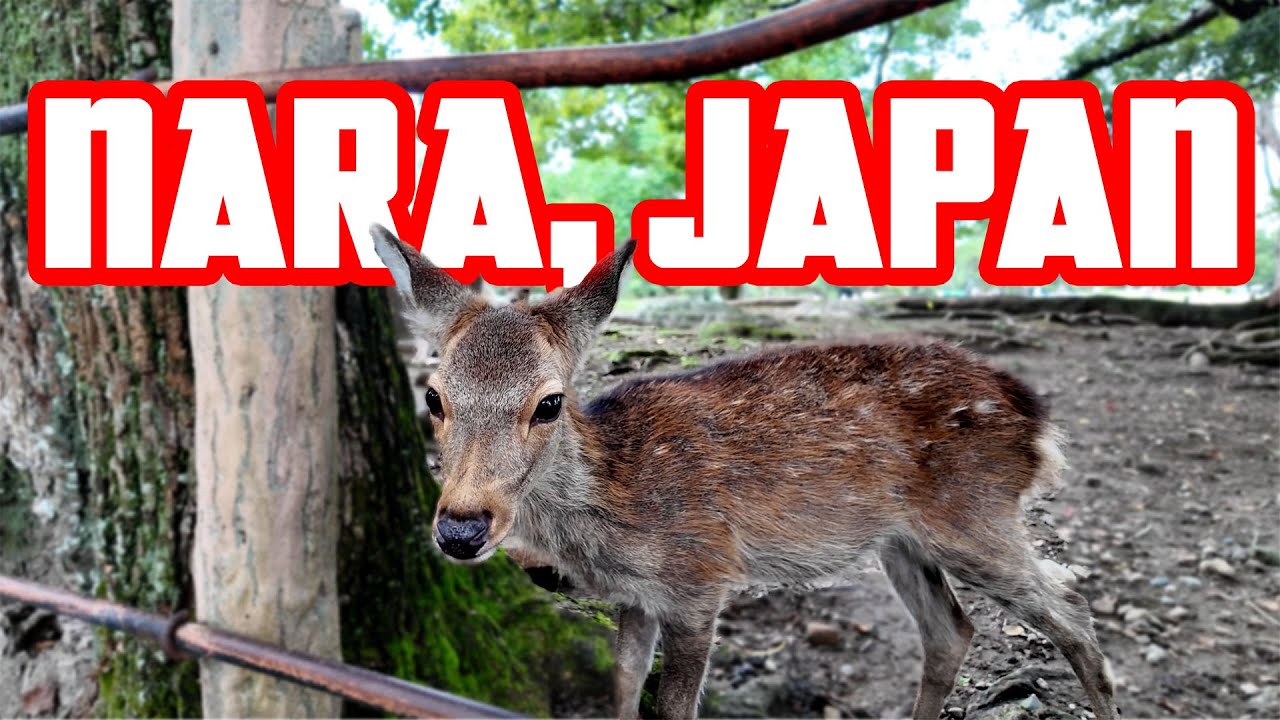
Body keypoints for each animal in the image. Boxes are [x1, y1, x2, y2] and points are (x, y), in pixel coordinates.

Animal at [370, 225, 1117, 720]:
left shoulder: (699, 578)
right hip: (903, 539)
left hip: (974, 511)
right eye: (433, 397)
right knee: (951, 630)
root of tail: (1036, 420)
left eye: (548, 402)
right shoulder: (636, 595)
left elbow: (673, 705)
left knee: (1071, 606)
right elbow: (622, 686)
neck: (614, 503)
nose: (462, 529)